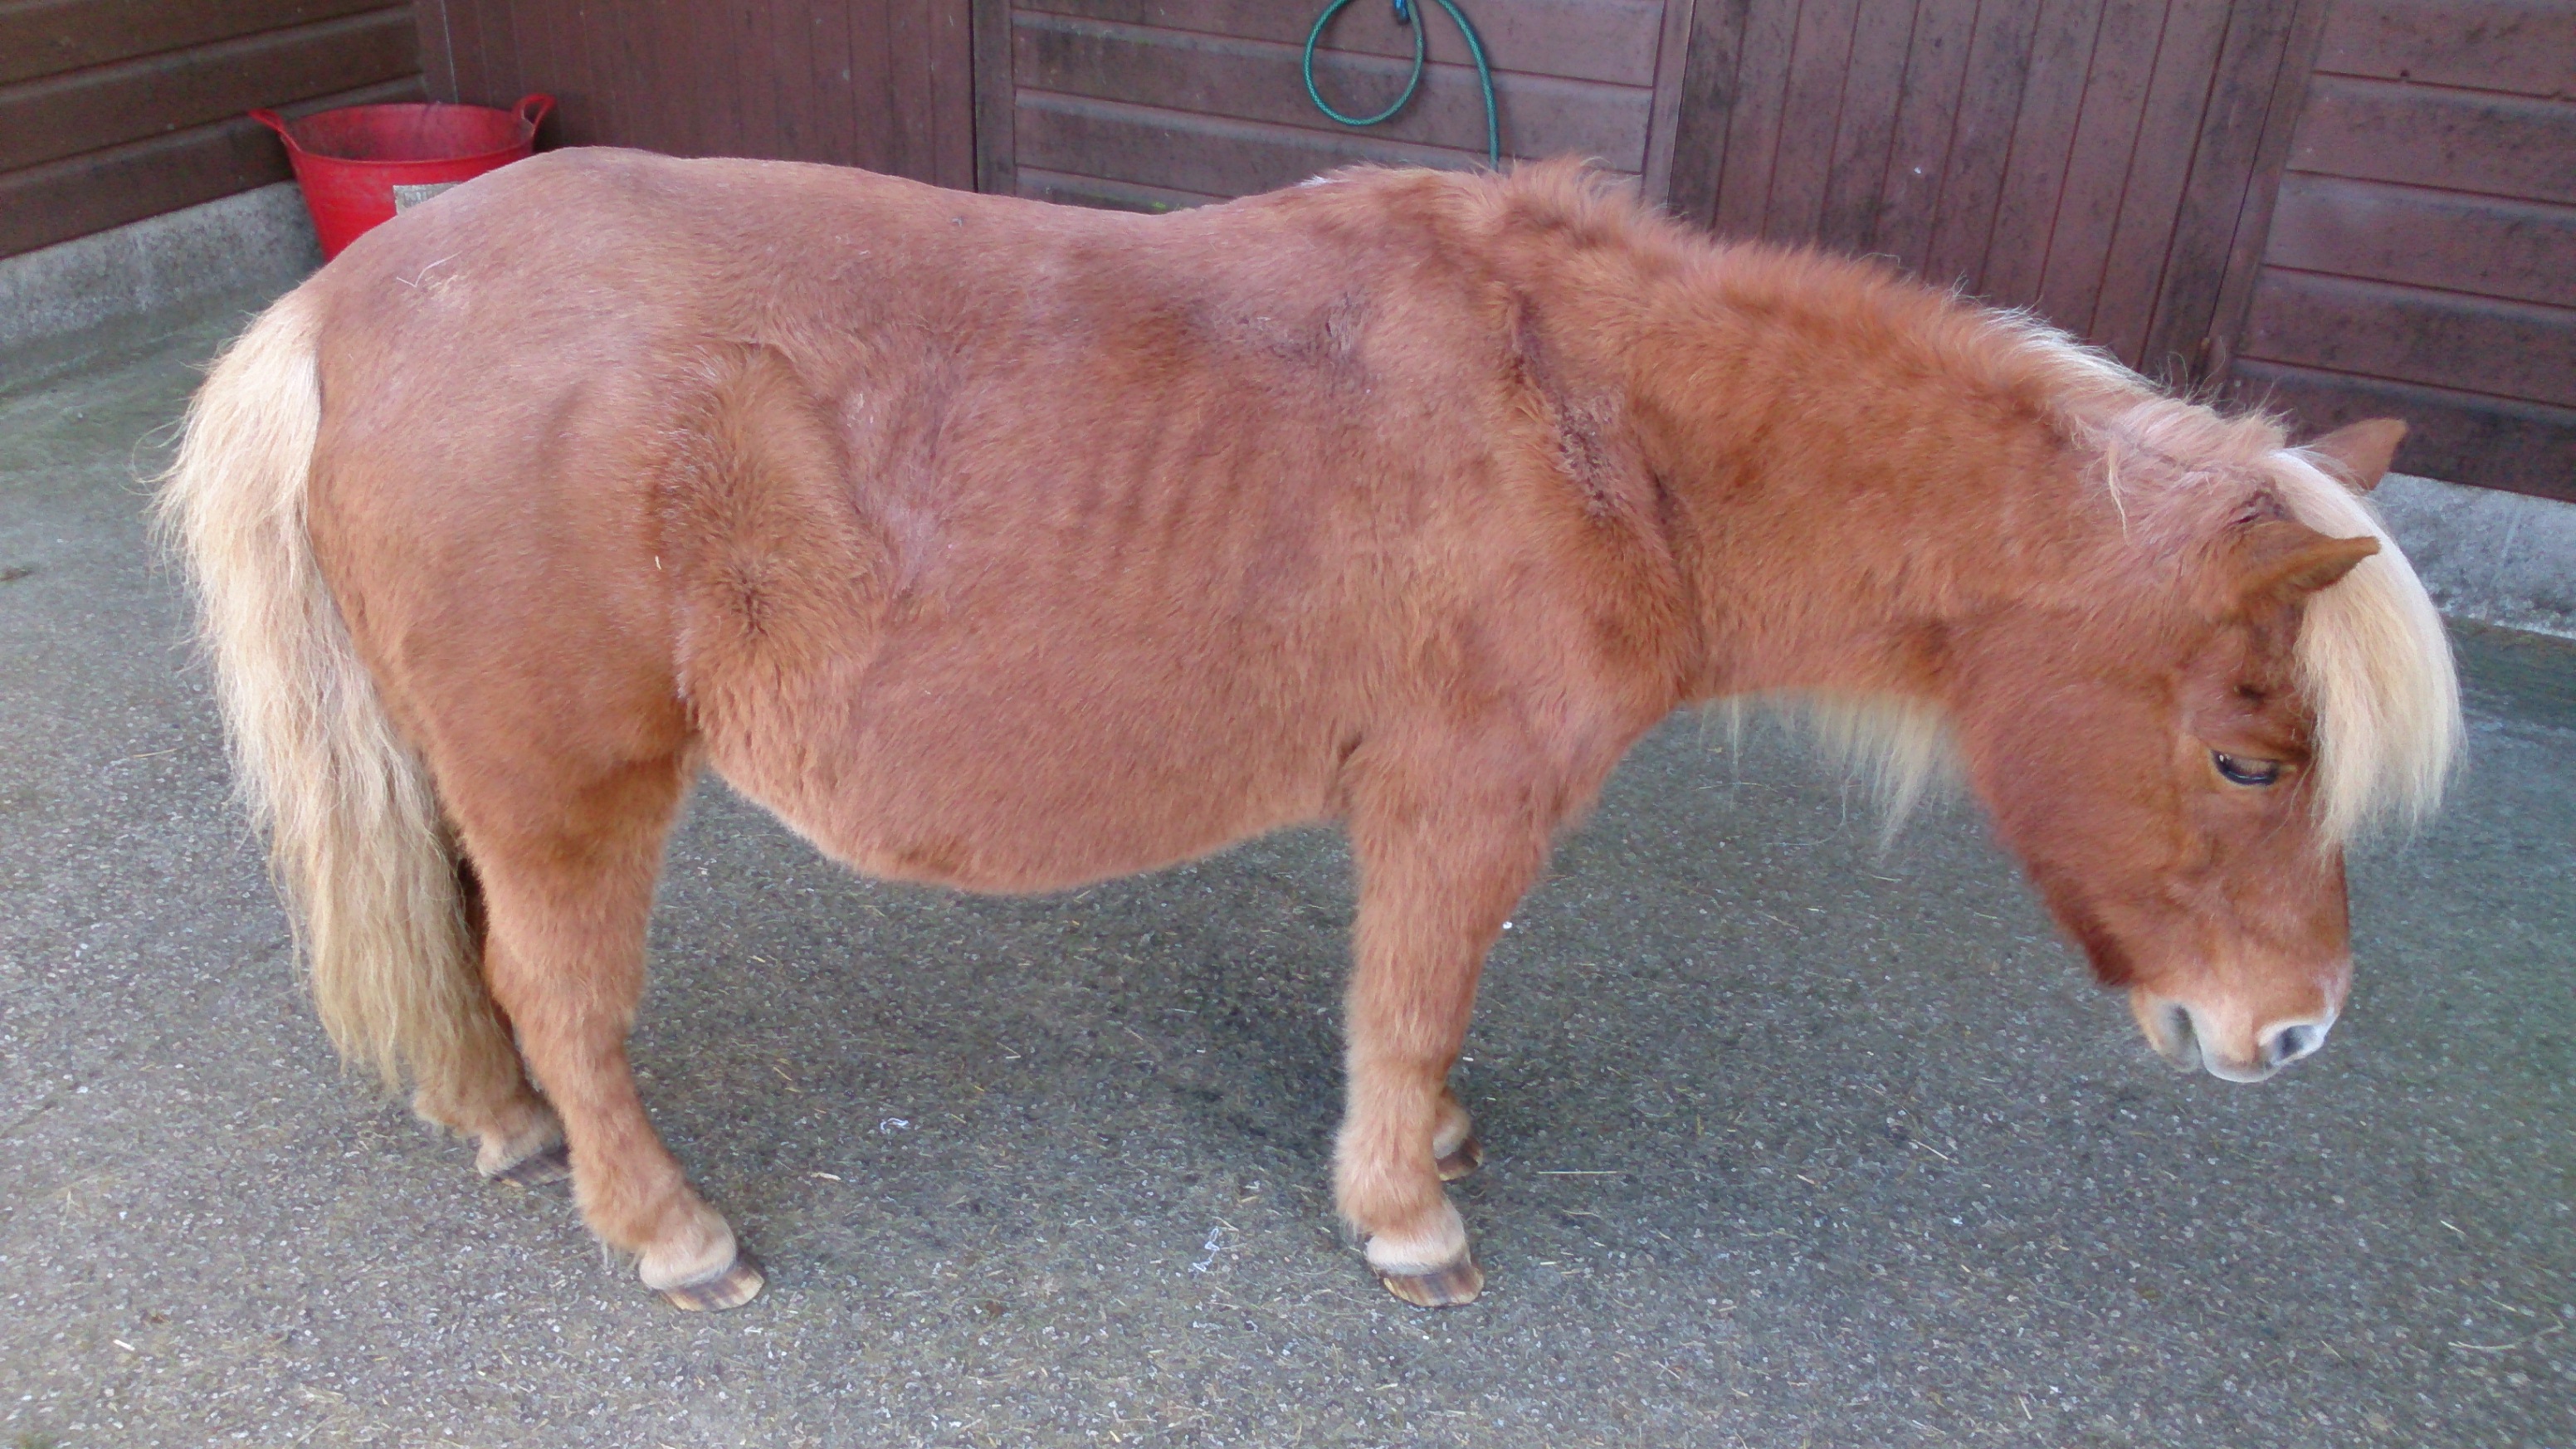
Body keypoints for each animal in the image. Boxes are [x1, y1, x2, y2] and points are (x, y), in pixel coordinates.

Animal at [160, 152, 2459, 1312]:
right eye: (2250, 759)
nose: (2295, 1034)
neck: (1594, 418)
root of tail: (341, 307)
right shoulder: (1462, 804)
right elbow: (1416, 1005)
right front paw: (1403, 1211)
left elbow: (1412, 1011)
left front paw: (1416, 1160)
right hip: (573, 791)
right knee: (564, 992)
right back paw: (662, 1229)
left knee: (485, 968)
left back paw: (505, 1128)